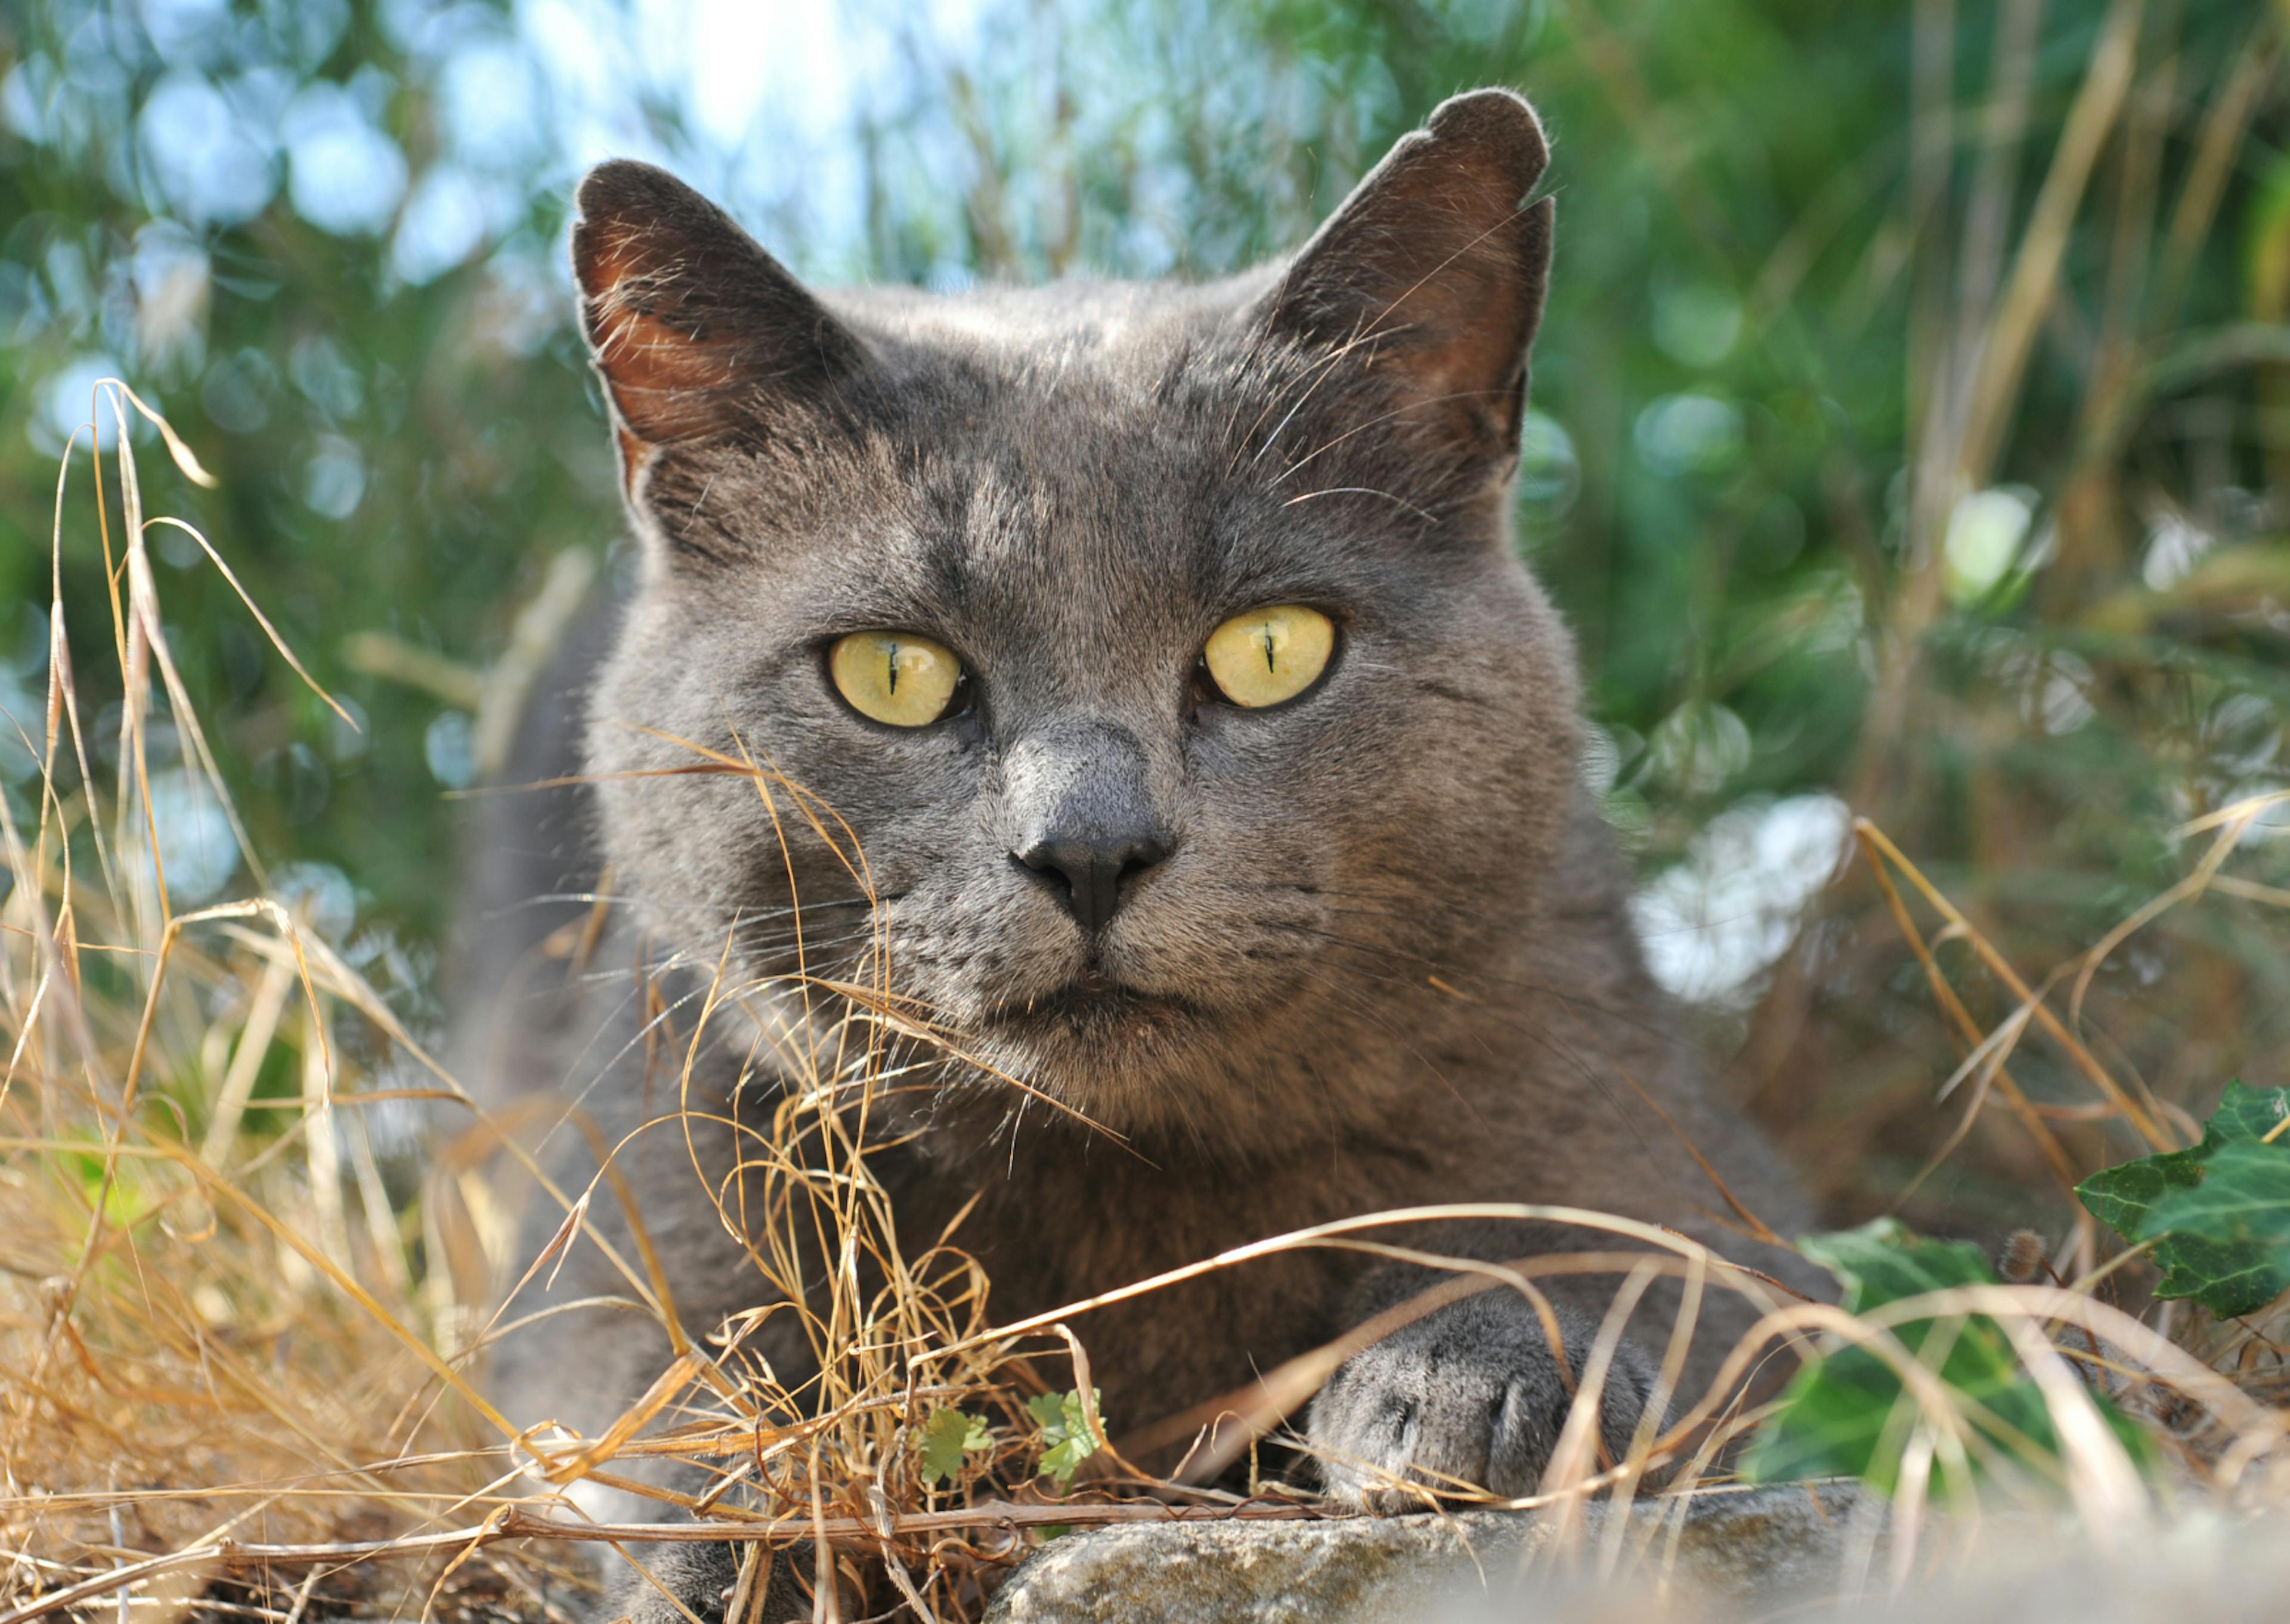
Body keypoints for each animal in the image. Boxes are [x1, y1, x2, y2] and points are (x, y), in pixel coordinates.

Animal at [456, 91, 1814, 1622]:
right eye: (891, 674)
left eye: (1272, 650)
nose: (1089, 847)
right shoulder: (638, 1192)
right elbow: (673, 1398)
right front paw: (749, 1546)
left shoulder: (1675, 1152)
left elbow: (1645, 1267)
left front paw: (1472, 1379)